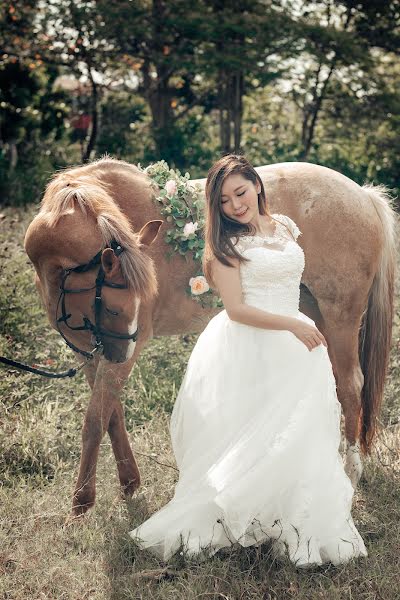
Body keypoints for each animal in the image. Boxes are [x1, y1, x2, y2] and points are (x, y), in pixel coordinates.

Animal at [25, 158, 396, 516]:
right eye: (113, 307)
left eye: (128, 305)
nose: (120, 352)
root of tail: (364, 196)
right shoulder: (89, 350)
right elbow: (111, 415)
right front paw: (129, 484)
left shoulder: (123, 349)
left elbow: (94, 421)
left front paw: (81, 503)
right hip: (311, 313)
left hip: (340, 317)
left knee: (350, 385)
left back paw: (348, 473)